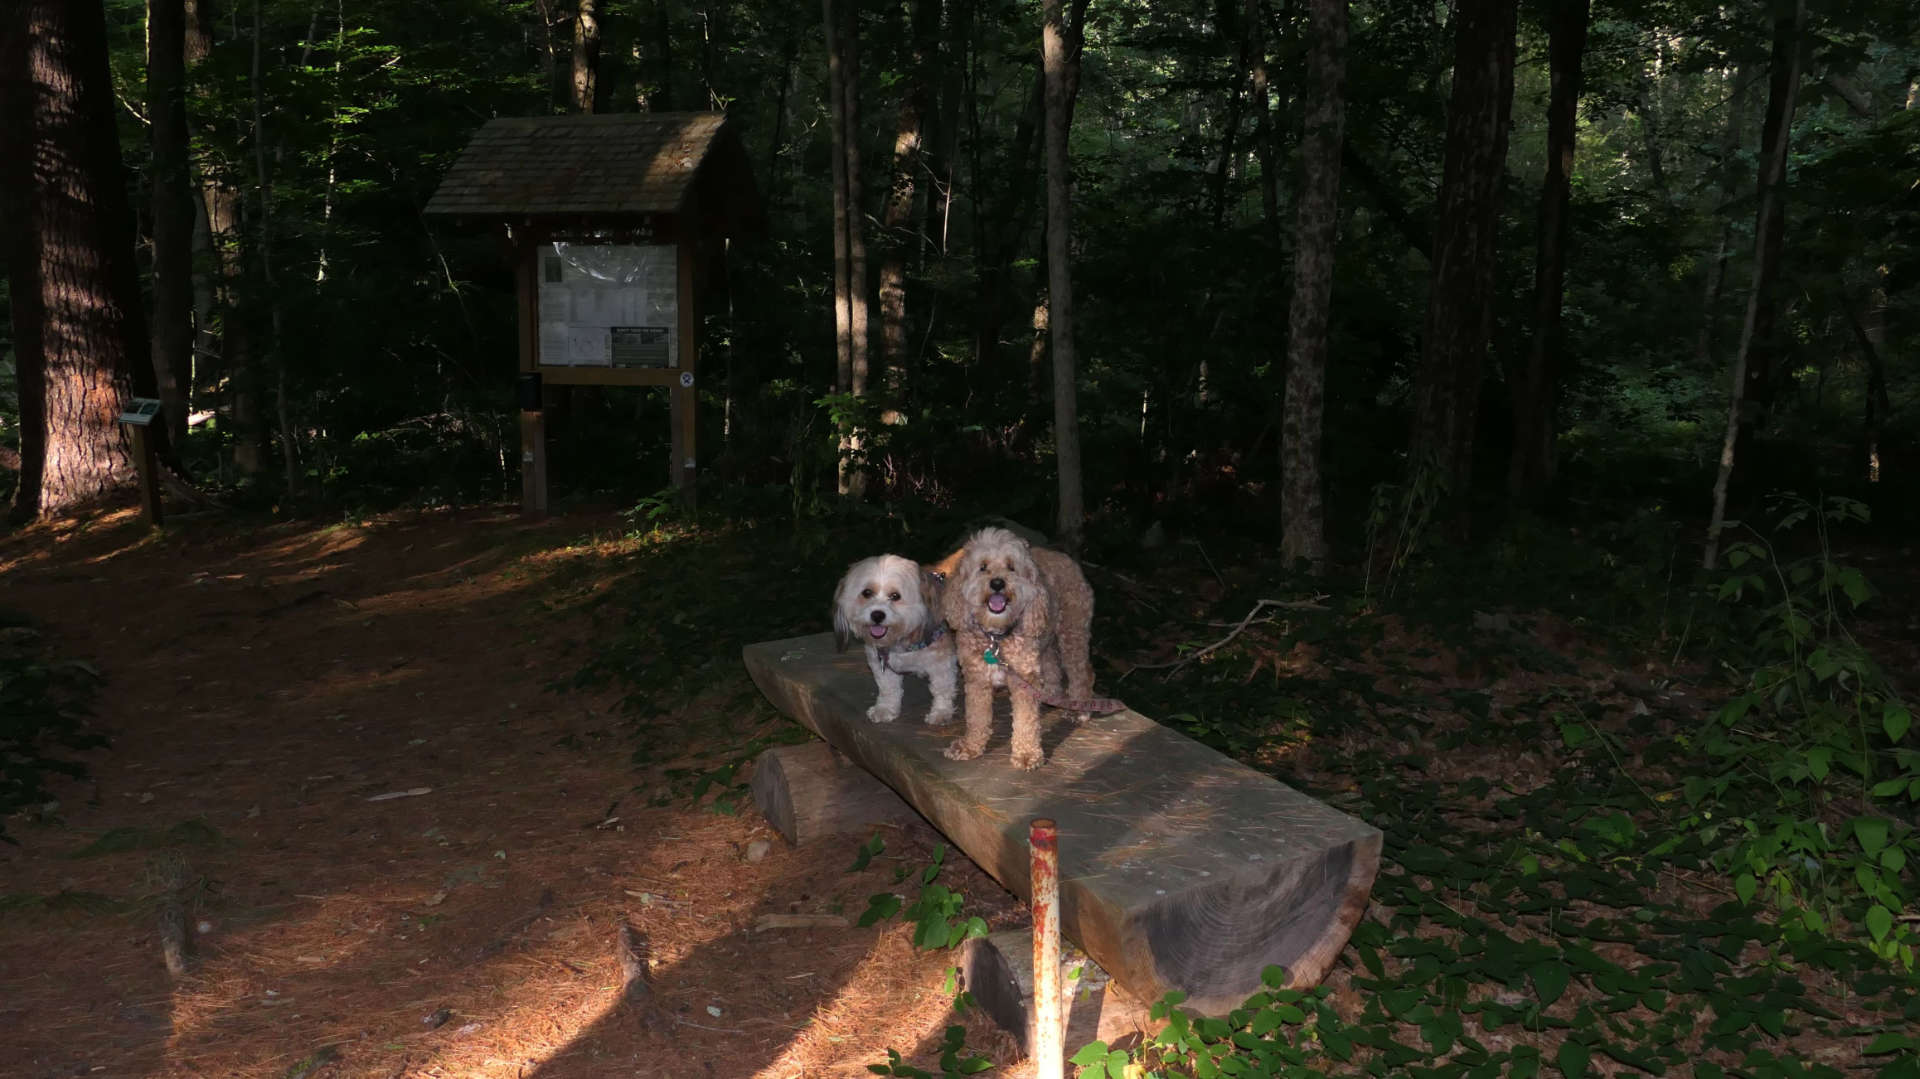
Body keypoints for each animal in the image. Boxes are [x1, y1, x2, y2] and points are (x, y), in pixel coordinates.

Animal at [829, 552, 956, 721]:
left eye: (895, 596)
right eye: (867, 593)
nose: (877, 615)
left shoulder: (941, 661)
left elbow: (942, 689)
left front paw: (941, 713)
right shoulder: (880, 662)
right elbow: (888, 688)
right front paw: (885, 708)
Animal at [940, 526, 1098, 767]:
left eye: (1011, 567)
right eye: (983, 567)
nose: (997, 583)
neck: (996, 637)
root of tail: (1065, 557)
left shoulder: (1022, 678)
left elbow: (1025, 721)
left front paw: (1026, 754)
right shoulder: (977, 679)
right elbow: (976, 718)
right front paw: (970, 746)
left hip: (1072, 634)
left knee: (1082, 673)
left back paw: (1078, 709)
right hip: (1045, 640)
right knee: (1052, 669)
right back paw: (1049, 694)